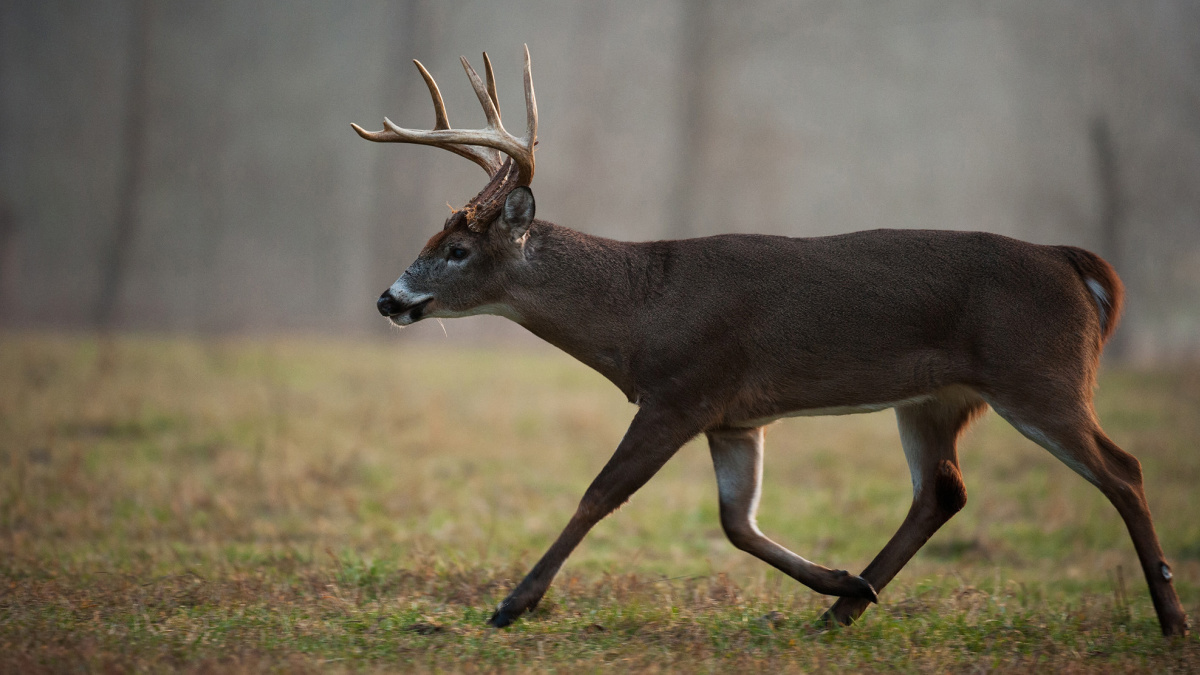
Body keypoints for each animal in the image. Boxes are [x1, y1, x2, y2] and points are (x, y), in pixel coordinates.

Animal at [350, 44, 1185, 634]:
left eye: (458, 250)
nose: (389, 298)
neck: (642, 310)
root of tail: (1075, 265)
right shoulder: (736, 416)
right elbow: (735, 520)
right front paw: (841, 579)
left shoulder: (685, 389)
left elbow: (600, 493)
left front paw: (512, 603)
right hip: (936, 397)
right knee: (943, 488)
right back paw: (844, 607)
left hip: (1039, 372)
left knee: (1124, 466)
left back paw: (1171, 615)